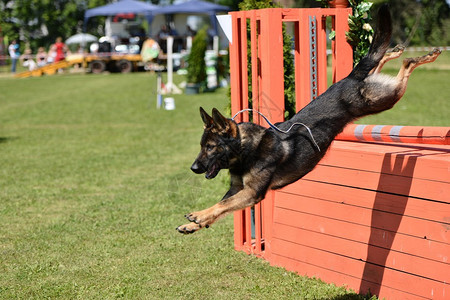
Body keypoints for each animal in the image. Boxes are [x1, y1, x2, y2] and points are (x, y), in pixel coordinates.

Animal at [178, 5, 442, 234]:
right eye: (202, 146)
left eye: (211, 147)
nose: (193, 168)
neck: (247, 149)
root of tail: (350, 78)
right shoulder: (237, 189)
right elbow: (220, 206)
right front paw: (194, 224)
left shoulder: (252, 193)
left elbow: (221, 205)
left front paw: (198, 216)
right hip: (378, 89)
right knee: (376, 63)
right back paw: (394, 51)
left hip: (384, 98)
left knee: (406, 64)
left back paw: (426, 55)